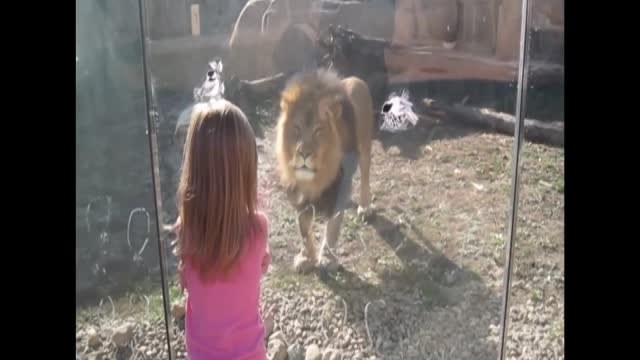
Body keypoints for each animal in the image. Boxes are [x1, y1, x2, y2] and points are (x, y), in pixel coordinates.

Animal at [276, 69, 376, 272]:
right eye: (296, 129)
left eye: (318, 130)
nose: (304, 153)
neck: (316, 177)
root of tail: (353, 78)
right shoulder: (299, 196)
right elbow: (303, 229)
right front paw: (306, 258)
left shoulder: (338, 189)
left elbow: (333, 226)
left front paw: (328, 258)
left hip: (364, 147)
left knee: (365, 175)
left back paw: (365, 207)